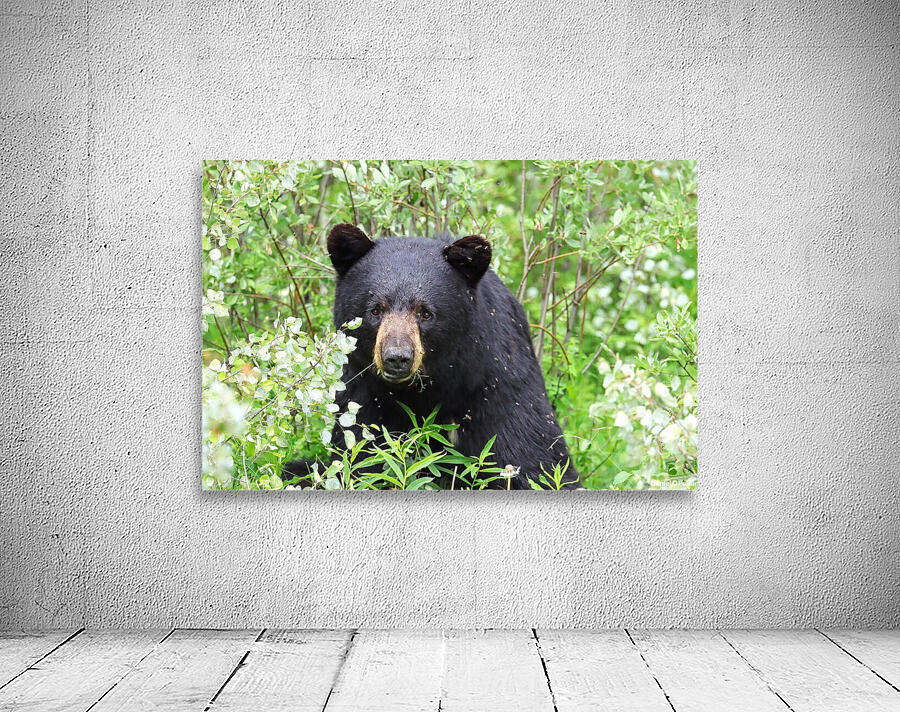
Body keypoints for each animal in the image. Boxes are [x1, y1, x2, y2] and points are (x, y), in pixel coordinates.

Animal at [285, 223, 580, 490]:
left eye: (425, 312)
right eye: (375, 310)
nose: (397, 357)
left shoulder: (498, 381)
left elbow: (532, 458)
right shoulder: (362, 392)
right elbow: (361, 459)